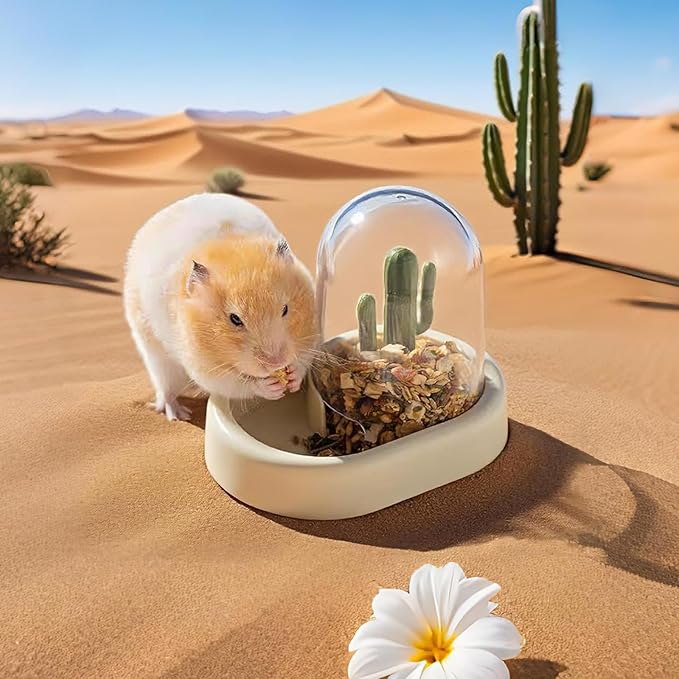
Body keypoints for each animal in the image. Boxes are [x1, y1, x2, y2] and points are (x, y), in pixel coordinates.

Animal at [123, 192, 318, 421]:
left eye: (285, 309)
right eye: (235, 319)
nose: (276, 363)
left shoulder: (311, 337)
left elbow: (303, 360)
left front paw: (293, 377)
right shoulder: (206, 368)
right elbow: (238, 384)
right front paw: (271, 387)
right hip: (155, 353)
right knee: (166, 388)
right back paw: (178, 415)